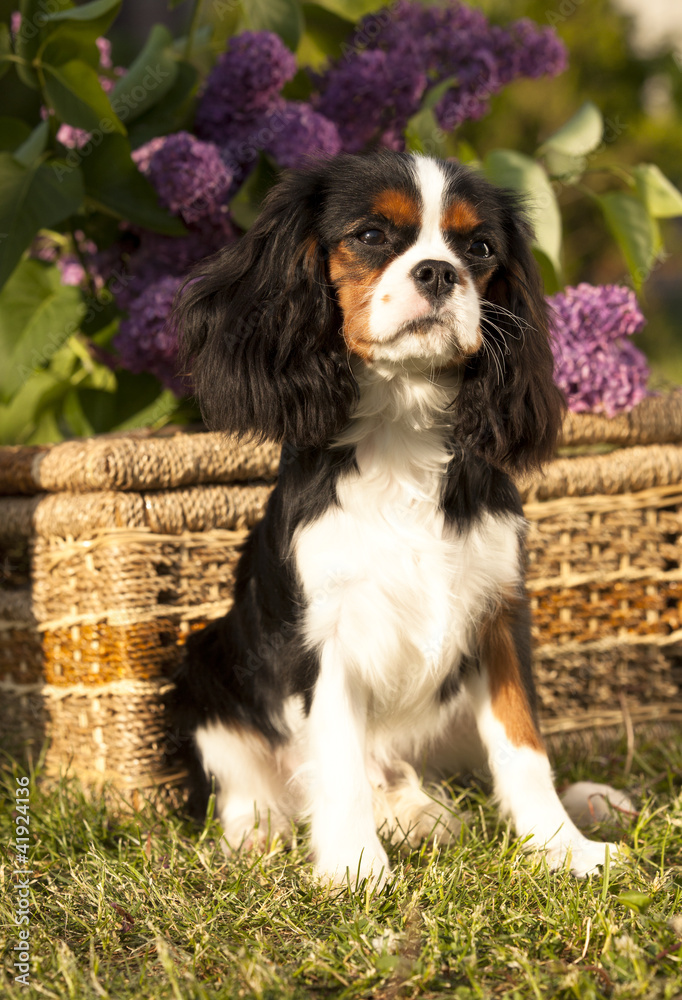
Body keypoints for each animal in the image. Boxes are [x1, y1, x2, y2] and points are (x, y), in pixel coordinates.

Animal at [173, 148, 620, 884]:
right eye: (372, 235)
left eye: (479, 248)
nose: (439, 271)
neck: (403, 425)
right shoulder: (321, 636)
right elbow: (339, 761)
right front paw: (355, 871)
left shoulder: (499, 614)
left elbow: (522, 741)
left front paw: (563, 847)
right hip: (204, 660)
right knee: (256, 778)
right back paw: (263, 833)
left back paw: (588, 800)